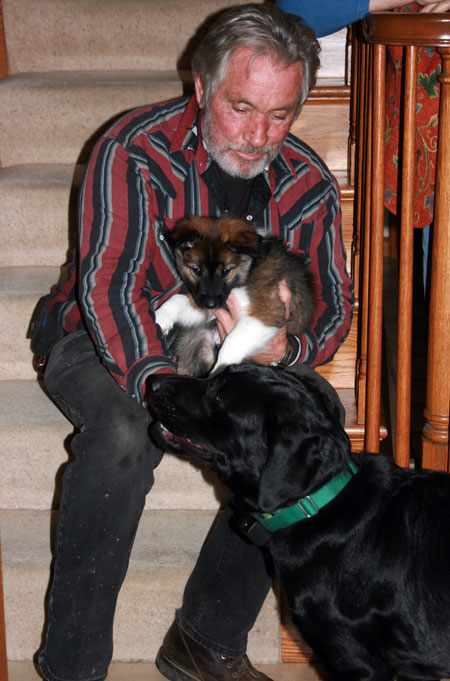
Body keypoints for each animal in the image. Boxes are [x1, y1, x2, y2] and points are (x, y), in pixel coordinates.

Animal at [155, 216, 312, 378]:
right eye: (197, 270)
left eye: (226, 271)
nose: (210, 305)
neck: (249, 268)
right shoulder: (213, 304)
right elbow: (178, 299)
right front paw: (161, 317)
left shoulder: (267, 312)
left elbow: (232, 341)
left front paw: (218, 372)